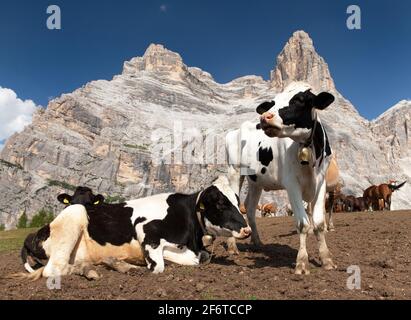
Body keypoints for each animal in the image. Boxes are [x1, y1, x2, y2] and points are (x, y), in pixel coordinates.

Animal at [16, 176, 251, 278]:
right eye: (220, 203)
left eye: (236, 199)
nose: (247, 229)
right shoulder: (145, 229)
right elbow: (161, 265)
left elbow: (203, 256)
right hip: (74, 215)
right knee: (53, 269)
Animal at [225, 82, 338, 276]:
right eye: (273, 102)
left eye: (300, 100)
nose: (265, 117)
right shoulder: (291, 183)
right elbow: (302, 223)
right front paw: (302, 263)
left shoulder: (321, 182)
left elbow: (318, 223)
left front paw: (326, 260)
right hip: (234, 172)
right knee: (236, 204)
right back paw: (233, 247)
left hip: (256, 181)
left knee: (250, 208)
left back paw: (257, 242)